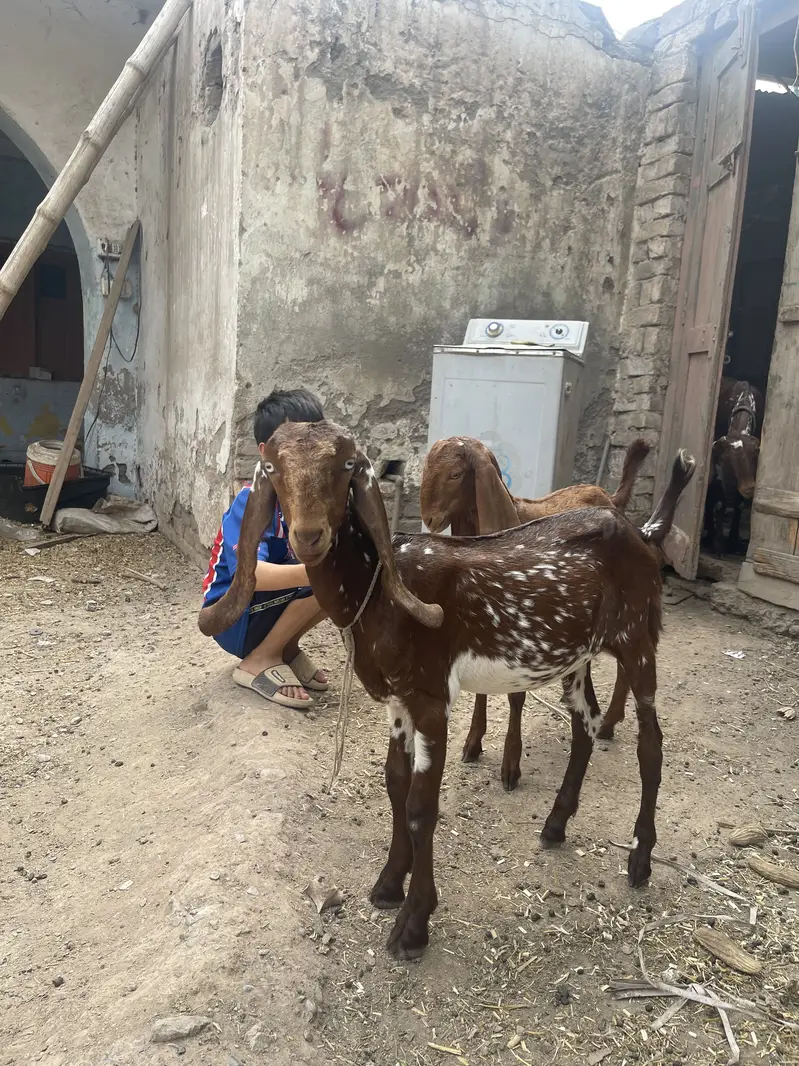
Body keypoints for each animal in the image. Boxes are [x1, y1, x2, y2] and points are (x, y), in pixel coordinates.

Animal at [420, 436, 652, 779]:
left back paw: (609, 723)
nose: (430, 519)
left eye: (455, 474)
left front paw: (510, 765)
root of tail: (609, 498)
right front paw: (473, 743)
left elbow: (516, 696)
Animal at [704, 377, 764, 556]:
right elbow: (719, 504)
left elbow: (738, 505)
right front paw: (718, 545)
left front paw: (732, 540)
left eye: (754, 458)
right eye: (728, 461)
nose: (749, 488)